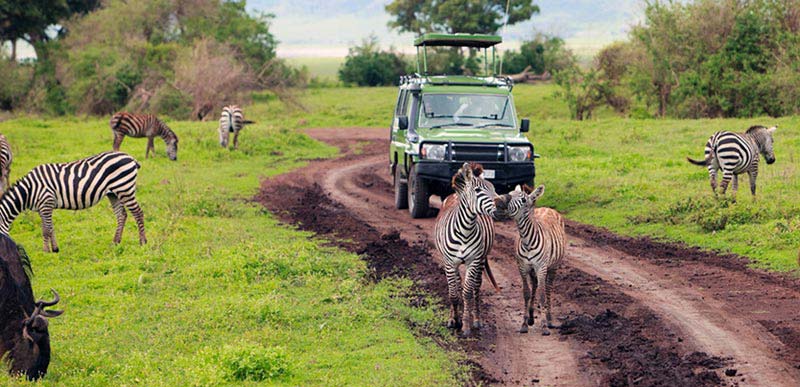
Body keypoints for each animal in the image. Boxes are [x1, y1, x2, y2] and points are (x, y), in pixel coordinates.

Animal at [0, 152, 147, 255]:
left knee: (138, 212)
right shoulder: (43, 208)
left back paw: (142, 242)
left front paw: (46, 251)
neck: (29, 190)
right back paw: (115, 242)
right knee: (121, 215)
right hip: (114, 193)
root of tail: (130, 157)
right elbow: (50, 227)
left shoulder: (46, 203)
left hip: (125, 188)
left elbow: (46, 230)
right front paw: (55, 249)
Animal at [434, 162, 496, 338]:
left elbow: (467, 292)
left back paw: (477, 320)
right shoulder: (449, 263)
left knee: (476, 287)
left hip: (481, 260)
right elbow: (453, 293)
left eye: (493, 188)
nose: (500, 204)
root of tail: (455, 195)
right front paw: (454, 321)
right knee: (455, 285)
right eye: (478, 190)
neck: (465, 230)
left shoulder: (473, 261)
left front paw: (466, 326)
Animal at [496, 185, 564, 336]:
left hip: (553, 267)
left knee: (548, 289)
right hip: (533, 270)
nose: (498, 201)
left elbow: (542, 295)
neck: (527, 240)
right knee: (534, 286)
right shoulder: (522, 267)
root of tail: (547, 208)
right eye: (509, 193)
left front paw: (544, 326)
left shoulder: (541, 267)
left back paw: (549, 319)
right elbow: (526, 293)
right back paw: (532, 317)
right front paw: (524, 324)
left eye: (523, 199)